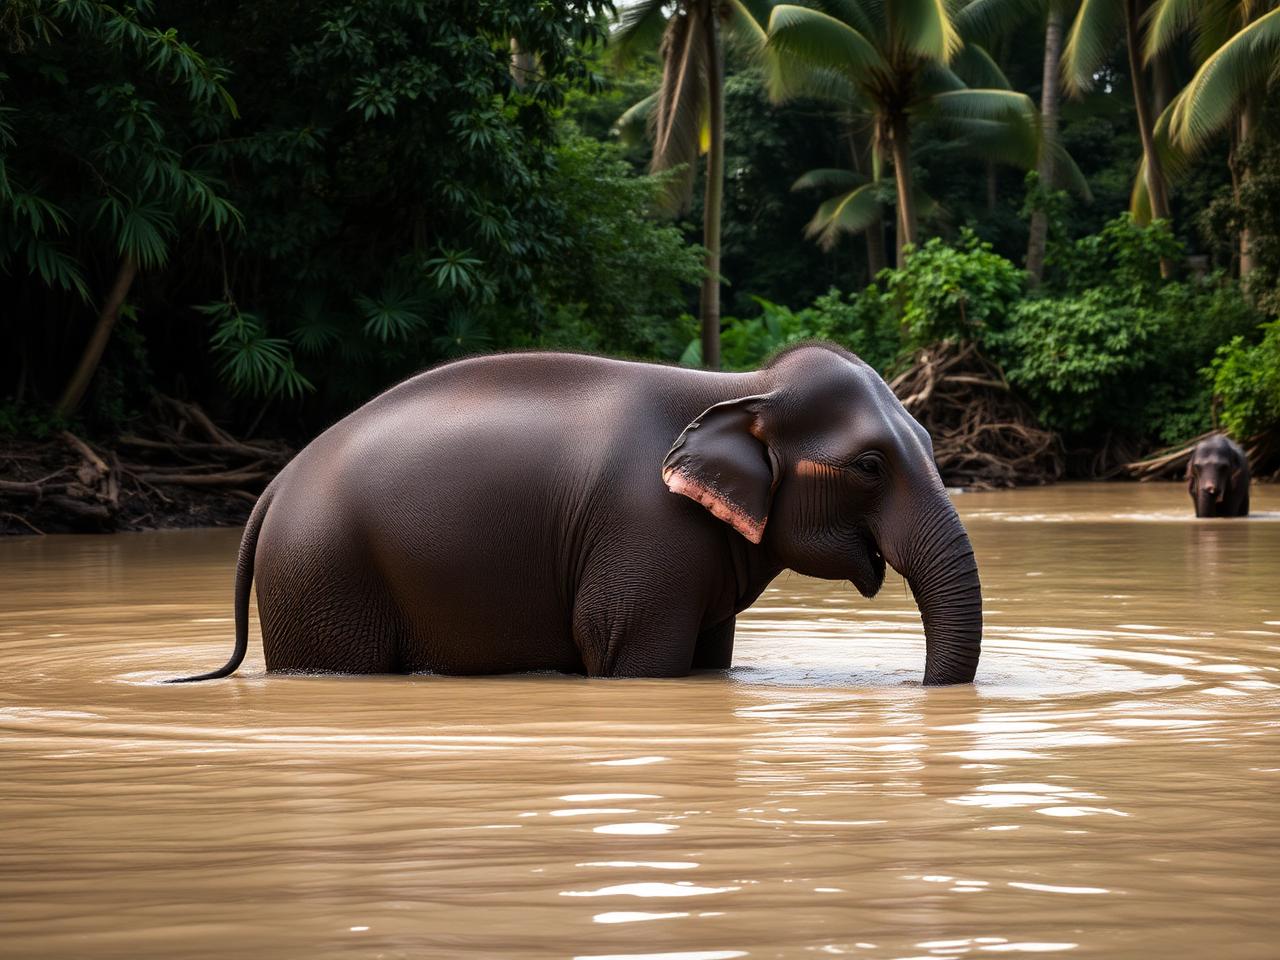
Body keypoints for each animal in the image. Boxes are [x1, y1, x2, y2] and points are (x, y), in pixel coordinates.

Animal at [172, 343, 982, 685]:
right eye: (870, 466)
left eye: (929, 443)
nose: (910, 688)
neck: (740, 383)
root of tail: (272, 489)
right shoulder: (646, 537)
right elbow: (625, 654)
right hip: (322, 577)